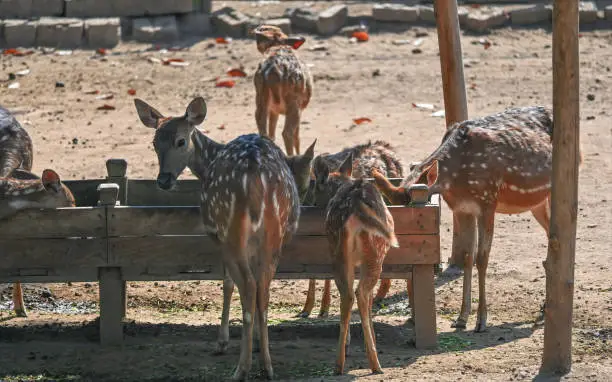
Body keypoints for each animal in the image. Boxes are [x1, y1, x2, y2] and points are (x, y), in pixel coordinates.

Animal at [251, 24, 314, 156]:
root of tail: (273, 71)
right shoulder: (300, 108)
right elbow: (297, 136)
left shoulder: (273, 109)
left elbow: (272, 132)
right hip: (294, 101)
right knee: (287, 133)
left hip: (260, 94)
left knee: (262, 124)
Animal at [314, 151, 400, 374]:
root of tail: (354, 207)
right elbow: (369, 300)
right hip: (375, 252)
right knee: (361, 294)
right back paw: (375, 363)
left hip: (337, 252)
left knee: (347, 296)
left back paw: (339, 363)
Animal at [370, 106, 580, 332]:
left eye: (414, 210)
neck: (456, 180)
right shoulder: (463, 210)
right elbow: (467, 257)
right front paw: (461, 318)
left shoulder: (487, 201)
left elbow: (482, 258)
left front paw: (481, 320)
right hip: (536, 202)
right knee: (551, 232)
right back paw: (544, 306)